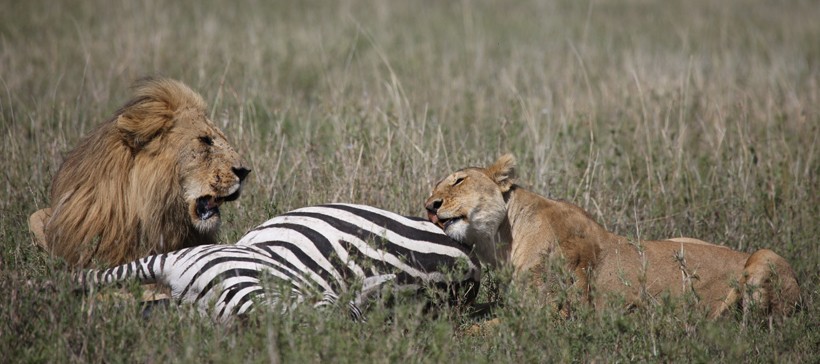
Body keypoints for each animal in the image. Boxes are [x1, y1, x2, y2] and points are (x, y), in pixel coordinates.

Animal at [426, 154, 796, 318]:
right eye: (434, 188)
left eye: (458, 180)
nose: (429, 206)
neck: (503, 239)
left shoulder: (550, 312)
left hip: (765, 259)